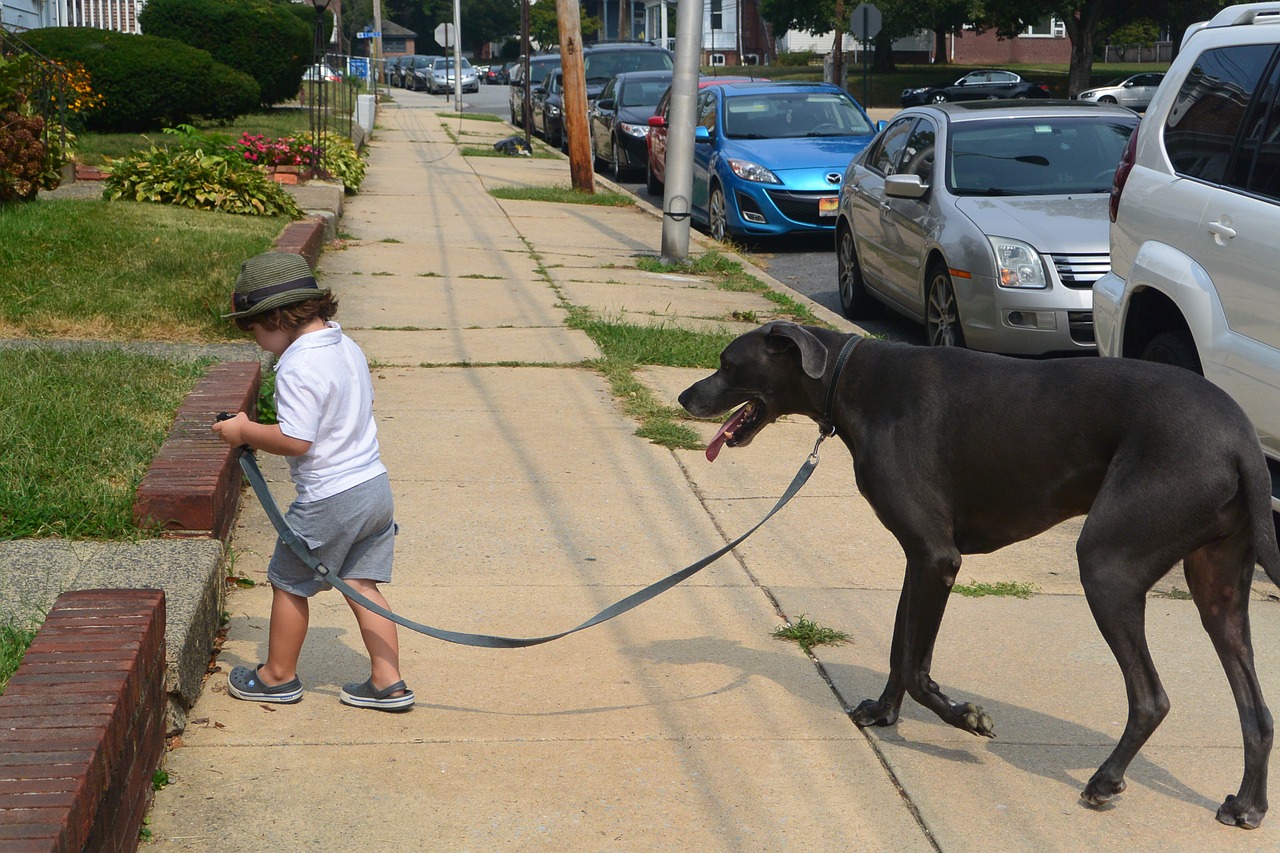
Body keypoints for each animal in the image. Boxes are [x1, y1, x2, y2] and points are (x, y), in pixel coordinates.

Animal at [680, 318, 1280, 824]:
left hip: (1108, 565)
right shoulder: (919, 559)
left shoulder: (937, 558)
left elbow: (918, 669)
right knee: (1257, 712)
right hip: (1217, 588)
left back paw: (1105, 781)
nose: (686, 396)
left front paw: (967, 717)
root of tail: (1243, 442)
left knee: (1151, 698)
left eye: (728, 363)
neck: (849, 377)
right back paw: (1247, 805)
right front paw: (882, 713)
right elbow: (900, 650)